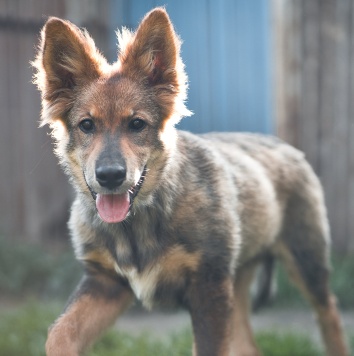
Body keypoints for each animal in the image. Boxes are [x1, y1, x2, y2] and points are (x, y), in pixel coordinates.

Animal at [34, 7, 348, 356]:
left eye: (137, 124)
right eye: (86, 125)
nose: (110, 176)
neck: (141, 220)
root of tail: (285, 146)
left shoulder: (208, 287)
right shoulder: (105, 282)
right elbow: (59, 332)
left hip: (307, 261)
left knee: (329, 314)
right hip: (236, 283)